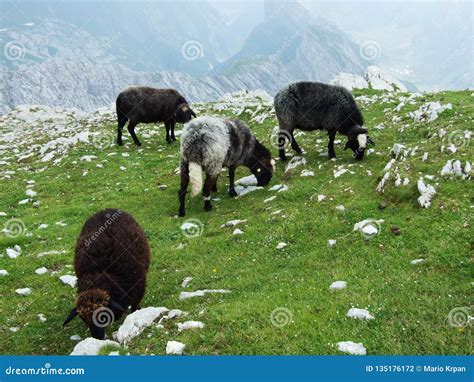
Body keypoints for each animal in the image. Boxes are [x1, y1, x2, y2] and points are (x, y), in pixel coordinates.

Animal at [63, 209, 150, 340]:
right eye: (83, 319)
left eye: (103, 317)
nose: (97, 338)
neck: (101, 273)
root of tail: (107, 209)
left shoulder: (138, 287)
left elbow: (134, 307)